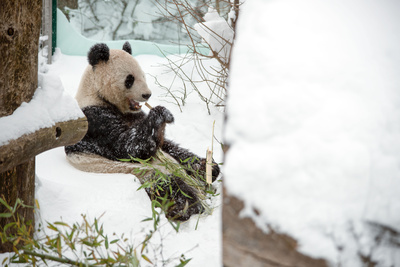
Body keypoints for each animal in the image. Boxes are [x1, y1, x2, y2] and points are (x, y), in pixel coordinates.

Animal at [67, 42, 220, 222]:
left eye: (143, 76)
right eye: (130, 79)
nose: (147, 94)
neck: (96, 94)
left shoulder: (134, 116)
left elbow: (164, 145)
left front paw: (206, 164)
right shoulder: (94, 122)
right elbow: (126, 148)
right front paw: (160, 113)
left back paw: (206, 172)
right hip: (143, 176)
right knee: (169, 186)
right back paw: (187, 207)